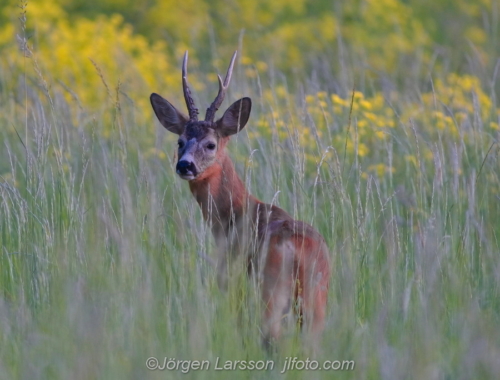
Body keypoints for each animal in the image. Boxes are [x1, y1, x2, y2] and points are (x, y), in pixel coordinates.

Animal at [150, 51, 330, 350]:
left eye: (210, 144)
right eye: (180, 141)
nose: (185, 166)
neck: (233, 215)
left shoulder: (230, 279)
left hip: (270, 289)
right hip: (316, 296)